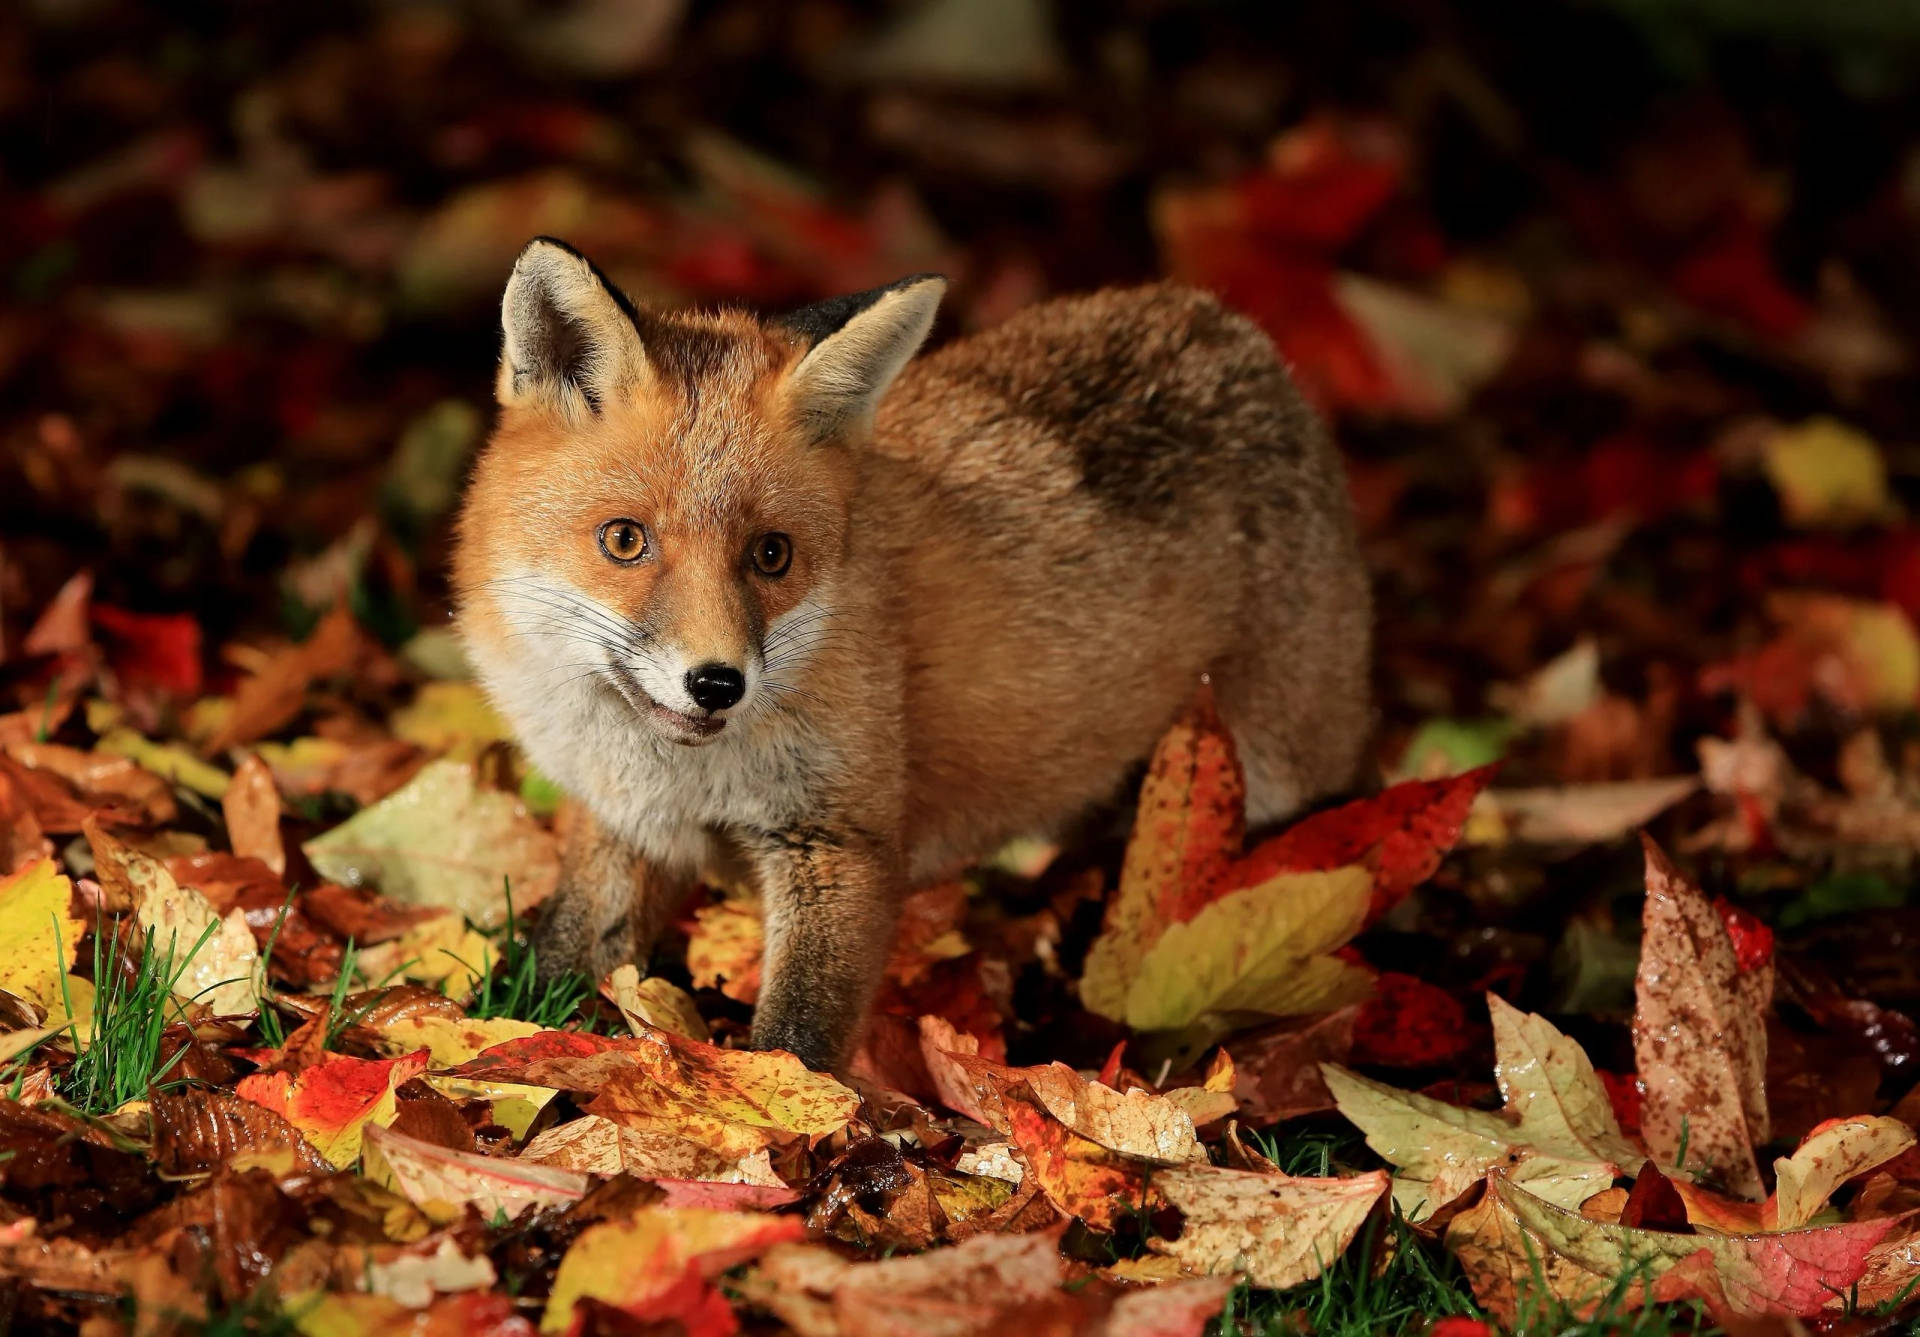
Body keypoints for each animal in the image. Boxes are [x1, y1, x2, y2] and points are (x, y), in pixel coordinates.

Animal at [453, 235, 1367, 1068]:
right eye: (624, 540)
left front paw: (794, 1120)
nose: (716, 683)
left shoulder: (840, 843)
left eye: (772, 554)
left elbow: (799, 1038)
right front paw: (504, 1041)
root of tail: (1232, 329)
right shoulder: (623, 825)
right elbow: (558, 960)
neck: (683, 775)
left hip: (1280, 778)